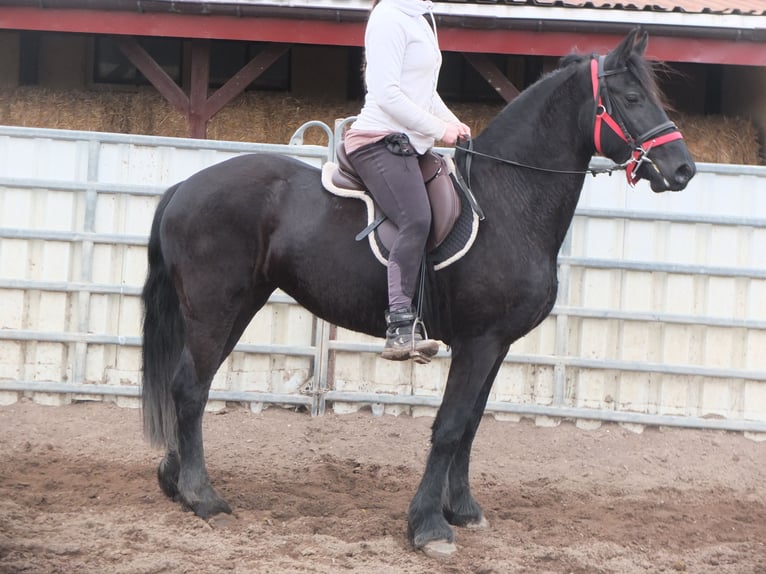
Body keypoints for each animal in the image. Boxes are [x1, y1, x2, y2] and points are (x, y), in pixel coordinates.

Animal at [142, 29, 696, 560]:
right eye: (631, 97)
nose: (683, 169)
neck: (508, 201)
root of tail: (184, 187)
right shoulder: (479, 342)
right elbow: (449, 427)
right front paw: (429, 527)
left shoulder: (497, 345)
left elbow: (471, 425)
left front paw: (463, 510)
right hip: (215, 310)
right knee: (190, 389)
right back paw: (204, 499)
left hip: (236, 307)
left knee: (188, 384)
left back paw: (175, 483)